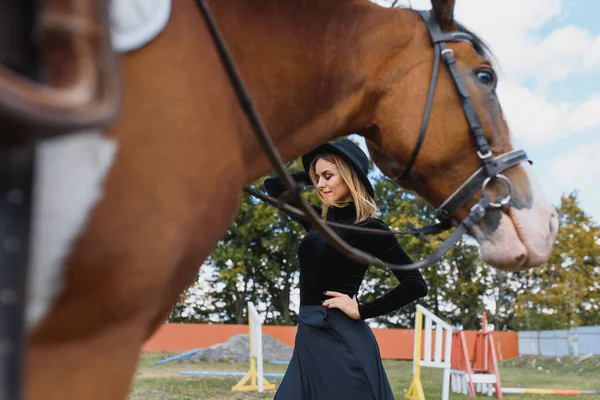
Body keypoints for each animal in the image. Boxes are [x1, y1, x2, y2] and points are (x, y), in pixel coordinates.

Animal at [14, 0, 556, 398]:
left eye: (326, 176)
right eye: (485, 76)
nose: (545, 223)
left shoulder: (91, 334)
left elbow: (410, 285)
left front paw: (344, 305)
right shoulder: (86, 338)